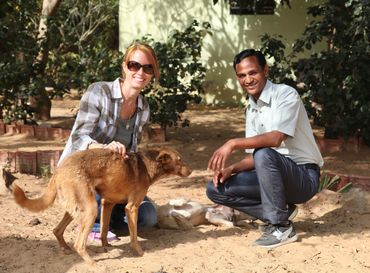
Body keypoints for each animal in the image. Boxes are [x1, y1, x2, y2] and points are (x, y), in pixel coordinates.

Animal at [12, 147, 191, 264]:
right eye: (180, 160)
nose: (190, 172)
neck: (148, 165)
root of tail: (58, 169)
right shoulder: (132, 207)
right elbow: (133, 237)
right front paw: (139, 252)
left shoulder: (107, 203)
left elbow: (104, 228)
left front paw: (106, 245)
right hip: (90, 209)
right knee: (79, 244)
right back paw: (92, 264)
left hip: (77, 207)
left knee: (57, 230)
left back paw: (65, 248)